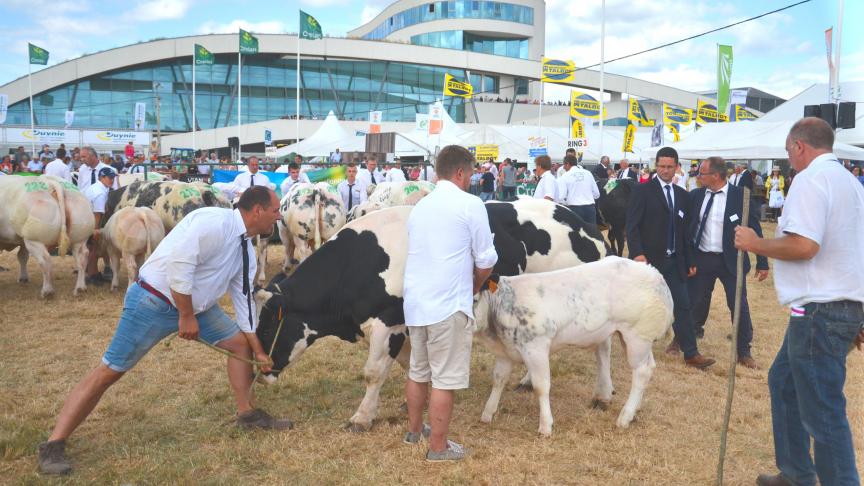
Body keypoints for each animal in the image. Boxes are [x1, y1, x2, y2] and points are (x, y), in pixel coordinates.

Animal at [255, 199, 608, 430]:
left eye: (268, 325)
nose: (261, 373)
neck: (359, 261)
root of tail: (586, 225)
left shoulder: (389, 321)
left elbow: (374, 372)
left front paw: (362, 417)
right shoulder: (407, 325)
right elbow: (409, 365)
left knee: (603, 347)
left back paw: (603, 394)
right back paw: (528, 380)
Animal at [472, 256, 676, 434]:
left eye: (474, 299)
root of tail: (655, 273)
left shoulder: (536, 347)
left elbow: (541, 386)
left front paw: (545, 425)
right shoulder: (505, 352)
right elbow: (498, 379)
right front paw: (487, 413)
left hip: (637, 336)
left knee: (642, 371)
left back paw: (625, 417)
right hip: (632, 338)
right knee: (649, 367)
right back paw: (634, 410)